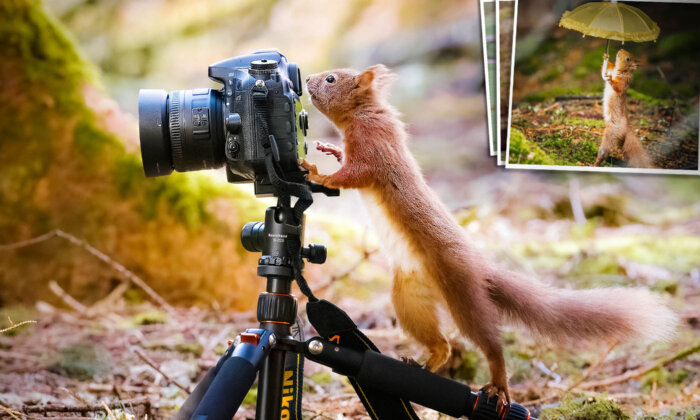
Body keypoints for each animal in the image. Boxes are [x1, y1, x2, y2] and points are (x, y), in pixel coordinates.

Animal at [300, 64, 672, 406]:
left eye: (331, 79)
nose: (306, 78)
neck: (365, 114)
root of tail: (483, 269)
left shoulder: (374, 149)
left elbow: (353, 173)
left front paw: (318, 172)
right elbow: (346, 161)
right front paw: (330, 149)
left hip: (463, 294)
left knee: (490, 343)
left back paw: (499, 386)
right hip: (410, 294)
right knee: (442, 343)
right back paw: (428, 360)